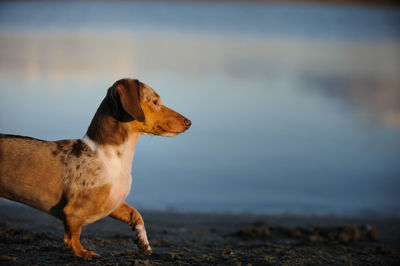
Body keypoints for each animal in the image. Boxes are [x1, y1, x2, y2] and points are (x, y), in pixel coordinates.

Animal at [0, 78, 192, 258]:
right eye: (155, 101)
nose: (189, 122)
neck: (112, 156)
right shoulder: (73, 212)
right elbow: (72, 237)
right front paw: (84, 253)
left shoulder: (113, 202)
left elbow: (136, 214)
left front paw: (143, 242)